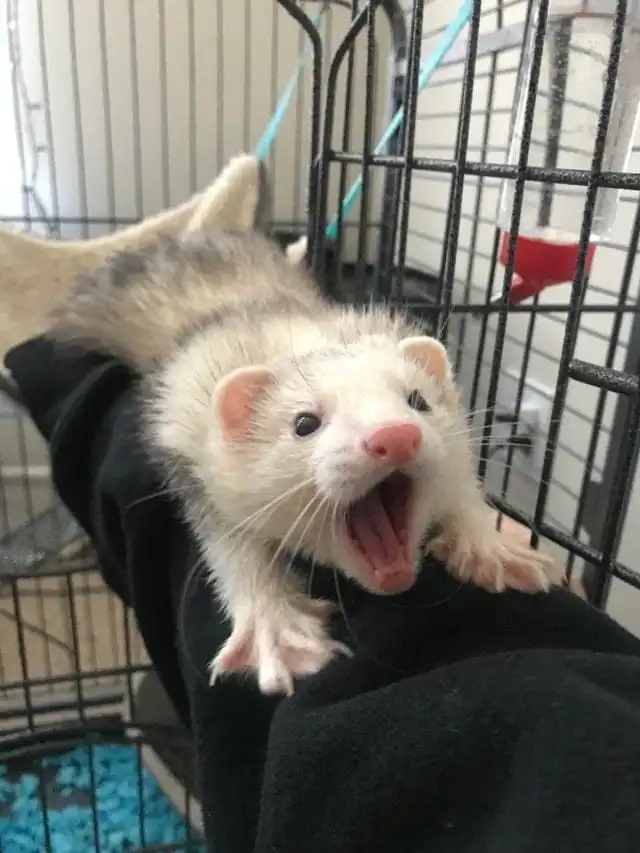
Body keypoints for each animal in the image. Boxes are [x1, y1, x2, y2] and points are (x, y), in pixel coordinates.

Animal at [47, 228, 557, 695]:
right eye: (304, 423)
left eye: (418, 400)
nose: (394, 436)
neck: (287, 330)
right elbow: (233, 552)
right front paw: (277, 629)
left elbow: (464, 490)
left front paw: (490, 548)